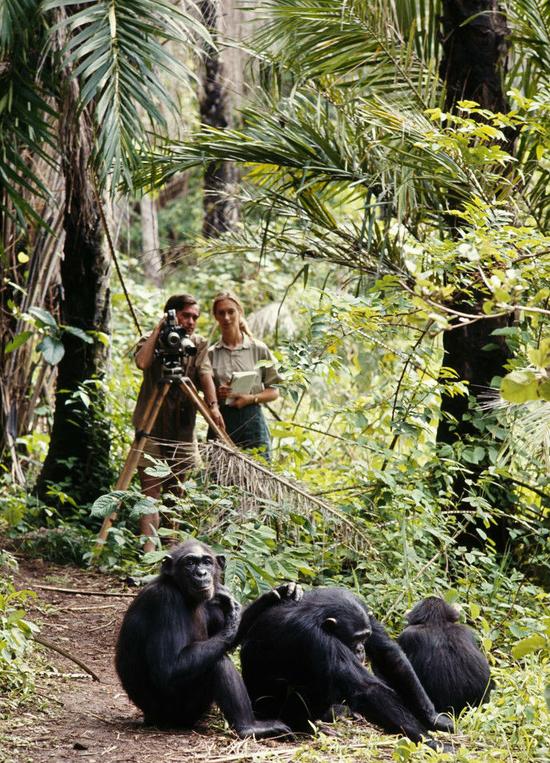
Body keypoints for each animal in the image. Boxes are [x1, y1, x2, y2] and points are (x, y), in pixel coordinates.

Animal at [115, 540, 294, 736]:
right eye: (190, 563)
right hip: (178, 712)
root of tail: (149, 718)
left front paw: (277, 594)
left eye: (207, 562)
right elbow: (168, 668)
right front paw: (233, 616)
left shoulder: (211, 599)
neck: (181, 591)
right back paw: (249, 727)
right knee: (218, 663)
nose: (201, 573)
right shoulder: (164, 601)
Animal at [237, 584, 458, 748]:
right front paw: (432, 743)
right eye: (355, 639)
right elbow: (366, 690)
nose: (360, 649)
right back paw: (305, 726)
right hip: (268, 708)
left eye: (365, 636)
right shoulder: (313, 636)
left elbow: (388, 654)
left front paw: (433, 719)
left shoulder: (364, 611)